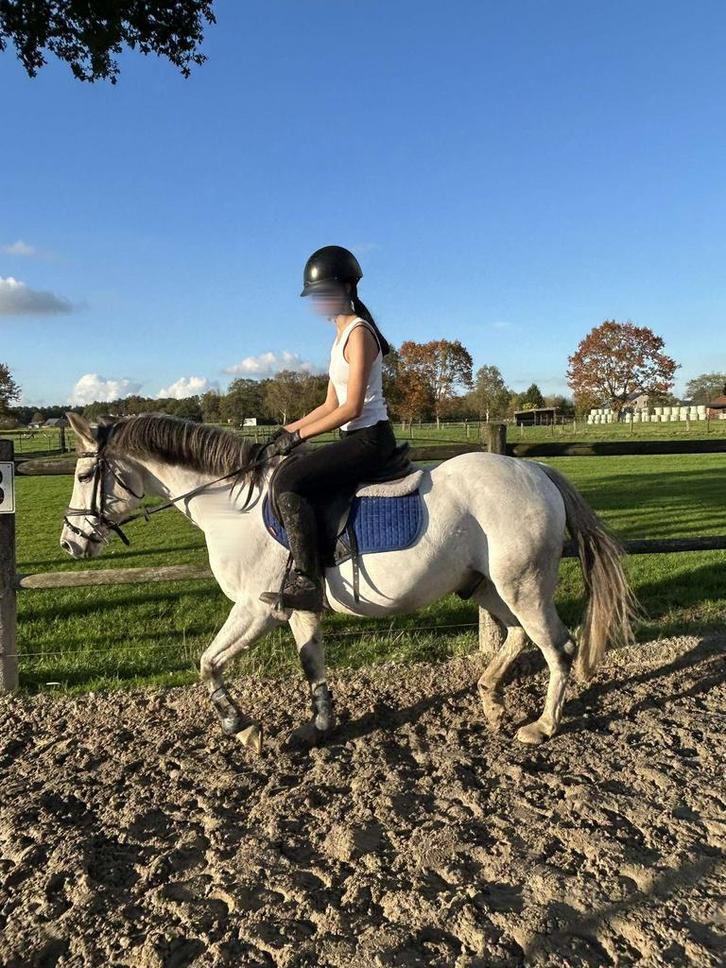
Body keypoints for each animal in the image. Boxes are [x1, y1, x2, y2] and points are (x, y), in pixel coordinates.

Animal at [60, 411, 637, 754]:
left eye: (85, 476)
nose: (70, 543)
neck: (231, 507)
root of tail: (537, 471)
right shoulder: (297, 606)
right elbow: (311, 663)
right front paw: (317, 726)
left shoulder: (256, 608)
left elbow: (208, 664)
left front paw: (244, 728)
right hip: (488, 585)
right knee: (517, 635)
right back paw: (491, 699)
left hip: (523, 583)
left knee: (558, 648)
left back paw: (541, 726)